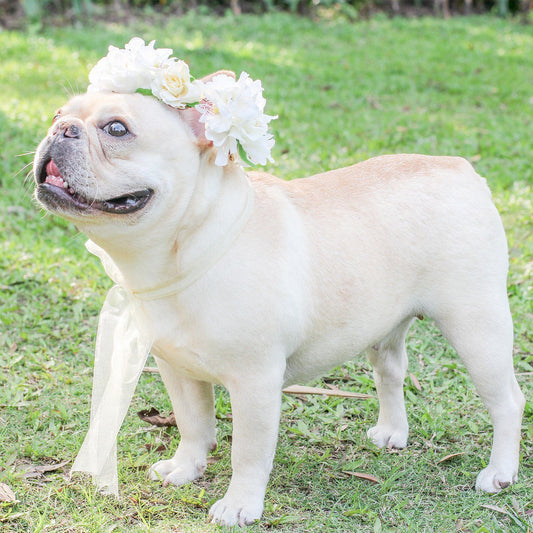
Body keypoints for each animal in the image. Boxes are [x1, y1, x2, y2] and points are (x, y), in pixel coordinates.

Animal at [34, 82, 524, 524]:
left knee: (507, 400)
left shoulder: (255, 382)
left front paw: (239, 506)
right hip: (385, 326)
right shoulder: (177, 368)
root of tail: (460, 168)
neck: (185, 247)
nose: (61, 127)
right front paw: (185, 468)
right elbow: (193, 424)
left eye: (117, 129)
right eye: (58, 111)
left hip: (475, 325)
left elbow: (248, 452)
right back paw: (391, 432)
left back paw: (499, 473)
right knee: (390, 372)